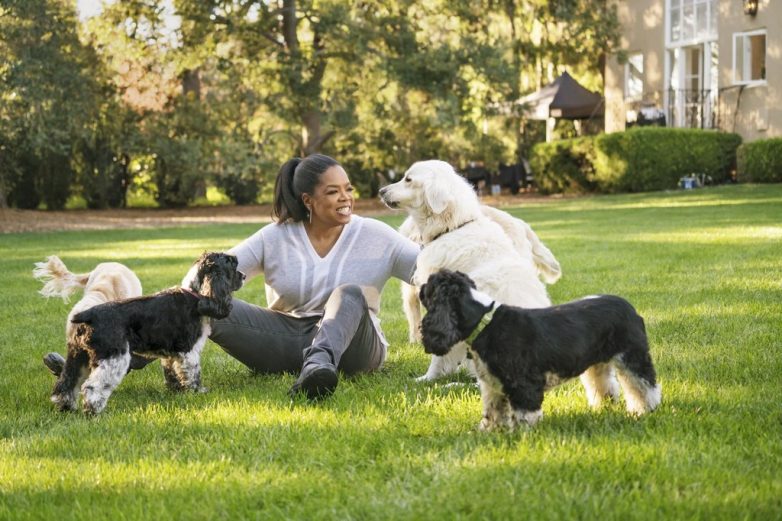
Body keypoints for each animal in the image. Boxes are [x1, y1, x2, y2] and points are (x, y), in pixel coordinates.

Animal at [51, 252, 243, 414]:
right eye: (233, 265)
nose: (243, 276)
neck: (196, 296)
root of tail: (87, 314)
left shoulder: (171, 354)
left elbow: (173, 373)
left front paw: (176, 392)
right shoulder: (189, 351)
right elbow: (193, 373)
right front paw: (198, 391)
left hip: (78, 356)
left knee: (66, 383)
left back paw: (66, 408)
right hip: (114, 357)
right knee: (91, 386)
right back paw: (94, 412)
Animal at [420, 268, 664, 430]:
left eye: (430, 286)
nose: (420, 286)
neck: (485, 322)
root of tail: (630, 307)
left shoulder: (524, 384)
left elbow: (524, 415)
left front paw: (521, 436)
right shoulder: (492, 386)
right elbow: (493, 412)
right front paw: (489, 432)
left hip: (633, 356)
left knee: (644, 386)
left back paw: (644, 410)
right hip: (598, 363)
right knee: (605, 386)